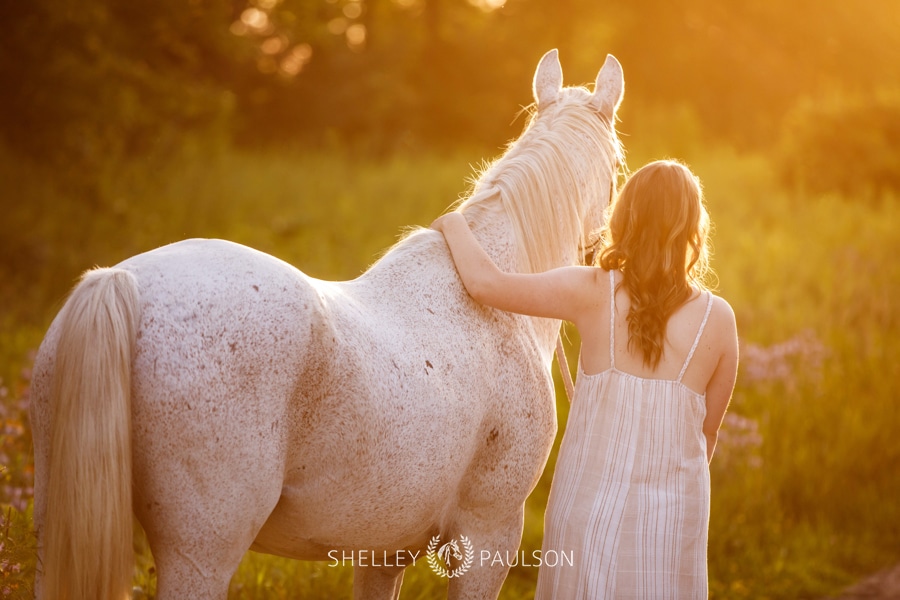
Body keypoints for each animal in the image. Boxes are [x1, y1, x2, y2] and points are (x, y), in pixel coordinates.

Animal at [28, 49, 620, 596]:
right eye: (618, 167)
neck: (494, 298)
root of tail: (119, 283)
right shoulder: (488, 534)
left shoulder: (383, 551)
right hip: (202, 553)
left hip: (55, 527)